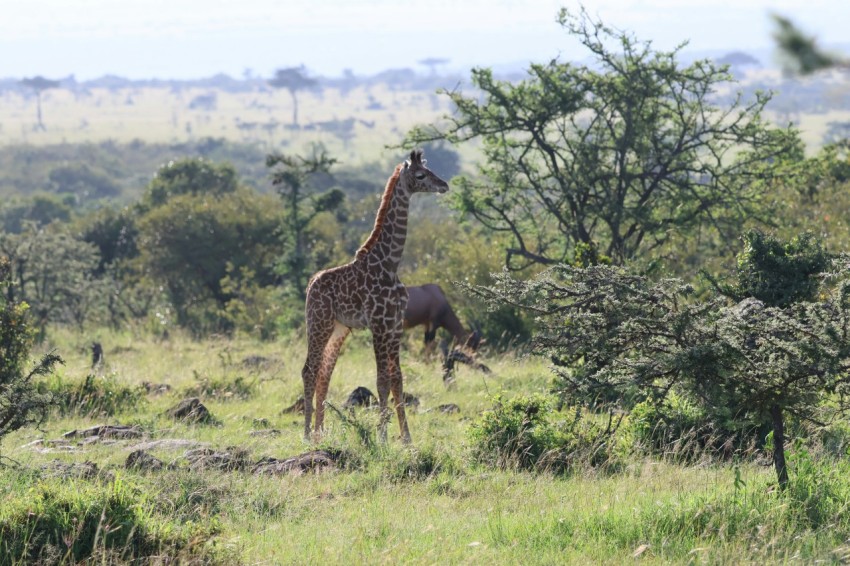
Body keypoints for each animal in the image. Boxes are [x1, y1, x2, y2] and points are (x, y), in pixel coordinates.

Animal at [299, 149, 449, 443]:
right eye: (420, 175)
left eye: (430, 170)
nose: (444, 185)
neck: (389, 263)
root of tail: (311, 283)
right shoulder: (379, 325)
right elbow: (381, 380)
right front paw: (382, 436)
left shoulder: (395, 325)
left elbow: (397, 379)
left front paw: (406, 438)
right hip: (319, 322)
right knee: (309, 370)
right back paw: (308, 434)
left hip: (338, 329)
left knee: (323, 373)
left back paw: (321, 433)